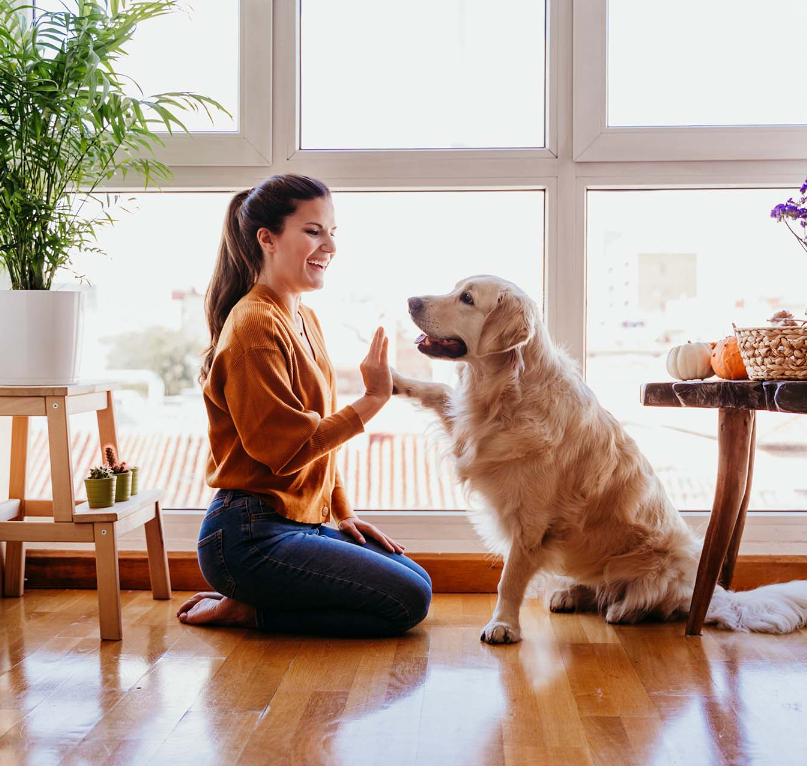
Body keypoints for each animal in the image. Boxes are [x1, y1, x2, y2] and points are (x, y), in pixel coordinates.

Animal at [394, 272, 807, 644]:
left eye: (466, 298)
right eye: (454, 289)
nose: (411, 301)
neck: (506, 392)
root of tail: (707, 592)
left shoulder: (531, 523)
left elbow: (508, 579)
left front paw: (503, 625)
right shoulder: (470, 429)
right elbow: (437, 390)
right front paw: (394, 378)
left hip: (667, 561)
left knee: (657, 602)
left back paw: (624, 610)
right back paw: (570, 595)